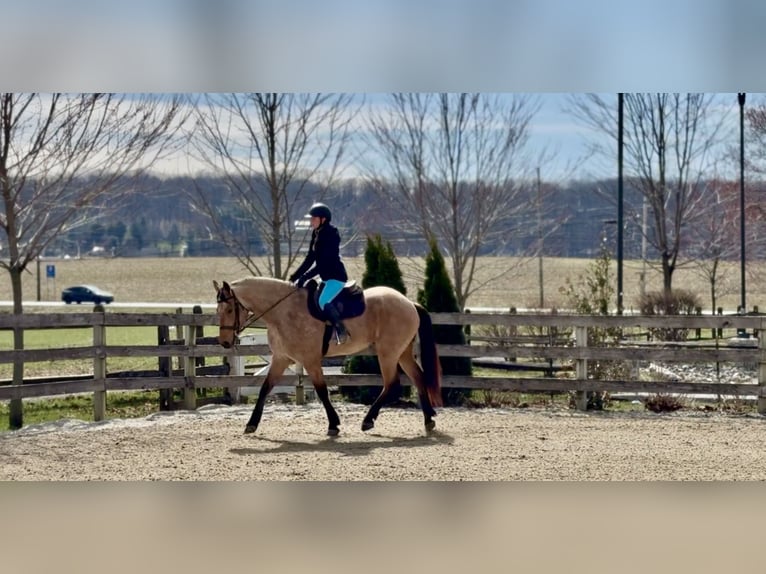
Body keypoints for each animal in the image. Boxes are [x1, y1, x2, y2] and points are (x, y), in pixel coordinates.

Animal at [213, 277, 442, 436]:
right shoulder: (280, 359)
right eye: (218, 310)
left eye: (230, 309)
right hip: (401, 352)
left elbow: (322, 391)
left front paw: (333, 424)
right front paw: (251, 424)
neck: (283, 312)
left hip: (388, 353)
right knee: (418, 377)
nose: (224, 342)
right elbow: (264, 389)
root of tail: (409, 303)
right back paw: (428, 420)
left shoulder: (311, 360)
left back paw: (368, 421)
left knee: (391, 383)